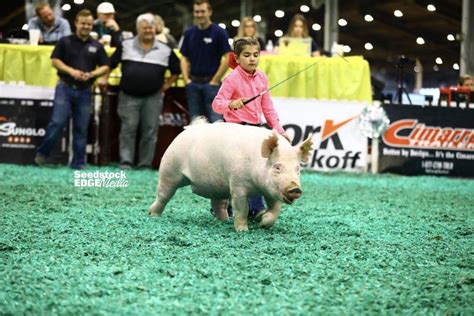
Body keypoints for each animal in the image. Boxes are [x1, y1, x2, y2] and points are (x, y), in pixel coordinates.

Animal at [148, 119, 312, 231]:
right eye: (277, 167)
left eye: (297, 168)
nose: (295, 189)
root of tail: (189, 128)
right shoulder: (237, 184)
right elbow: (242, 208)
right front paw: (243, 231)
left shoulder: (271, 189)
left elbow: (275, 209)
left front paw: (263, 223)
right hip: (170, 169)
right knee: (163, 195)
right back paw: (152, 215)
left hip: (217, 186)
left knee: (218, 203)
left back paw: (224, 221)